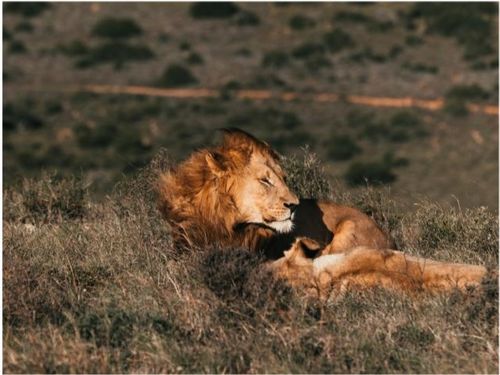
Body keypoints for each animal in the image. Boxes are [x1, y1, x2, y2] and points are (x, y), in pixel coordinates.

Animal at [158, 128, 486, 298]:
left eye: (283, 178)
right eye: (265, 180)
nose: (294, 205)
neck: (223, 222)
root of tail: (389, 235)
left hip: (346, 236)